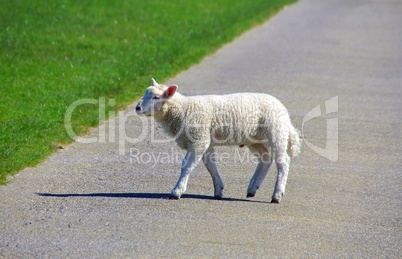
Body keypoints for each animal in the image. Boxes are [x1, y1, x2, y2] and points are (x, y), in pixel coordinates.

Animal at [136, 78, 302, 204]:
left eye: (156, 97)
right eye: (145, 93)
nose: (137, 107)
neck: (183, 109)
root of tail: (283, 110)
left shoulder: (198, 140)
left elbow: (186, 166)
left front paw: (177, 191)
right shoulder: (205, 140)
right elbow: (210, 166)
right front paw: (218, 190)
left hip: (276, 133)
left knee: (283, 162)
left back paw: (277, 195)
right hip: (256, 139)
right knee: (266, 159)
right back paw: (252, 188)